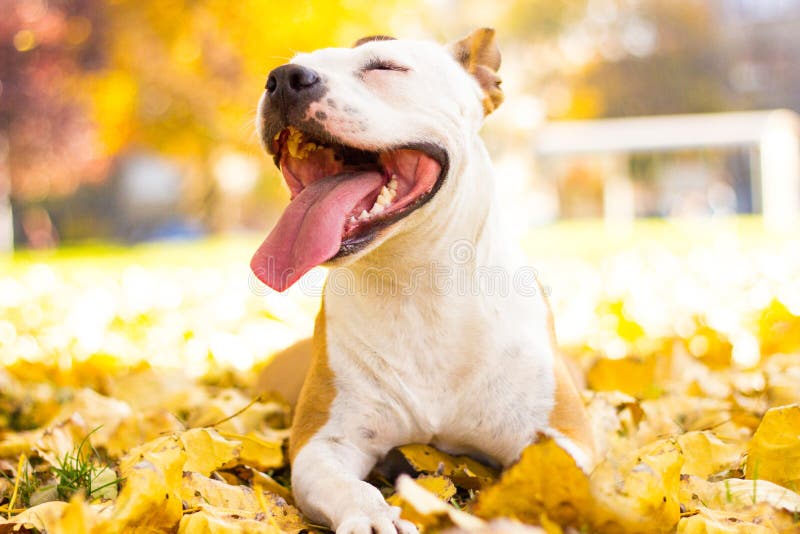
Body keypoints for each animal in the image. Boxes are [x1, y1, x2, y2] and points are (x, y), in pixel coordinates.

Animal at [253, 29, 596, 534]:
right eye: (282, 71)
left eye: (385, 67)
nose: (282, 79)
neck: (417, 283)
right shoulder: (323, 444)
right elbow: (351, 486)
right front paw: (374, 515)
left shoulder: (564, 441)